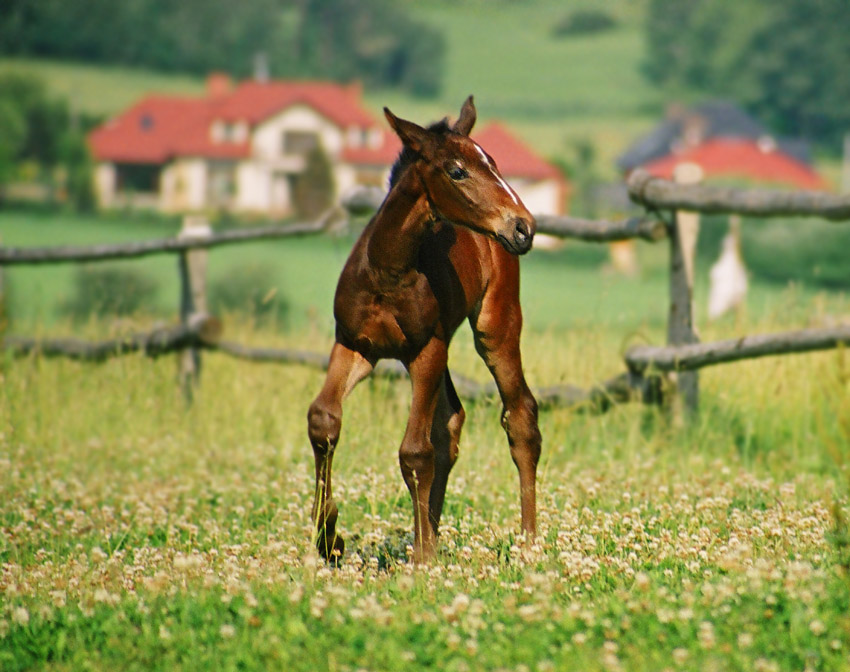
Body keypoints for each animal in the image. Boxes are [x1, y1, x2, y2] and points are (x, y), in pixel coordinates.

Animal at [308, 97, 540, 564]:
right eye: (457, 170)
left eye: (494, 163)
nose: (523, 226)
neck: (387, 272)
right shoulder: (354, 344)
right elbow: (323, 420)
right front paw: (329, 539)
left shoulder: (425, 349)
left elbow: (415, 451)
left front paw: (421, 560)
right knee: (451, 422)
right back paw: (428, 532)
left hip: (495, 325)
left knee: (520, 415)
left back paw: (527, 542)